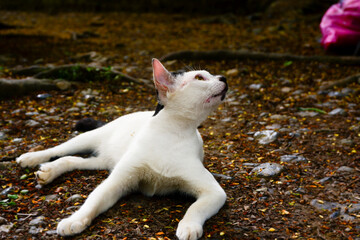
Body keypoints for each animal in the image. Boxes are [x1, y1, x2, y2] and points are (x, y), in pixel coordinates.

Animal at [16, 58, 228, 240]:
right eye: (199, 77)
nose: (224, 78)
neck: (171, 133)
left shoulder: (214, 192)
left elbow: (195, 208)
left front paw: (188, 226)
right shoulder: (117, 181)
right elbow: (92, 201)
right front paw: (74, 220)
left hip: (103, 162)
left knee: (72, 160)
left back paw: (49, 171)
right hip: (87, 139)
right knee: (57, 150)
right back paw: (31, 158)